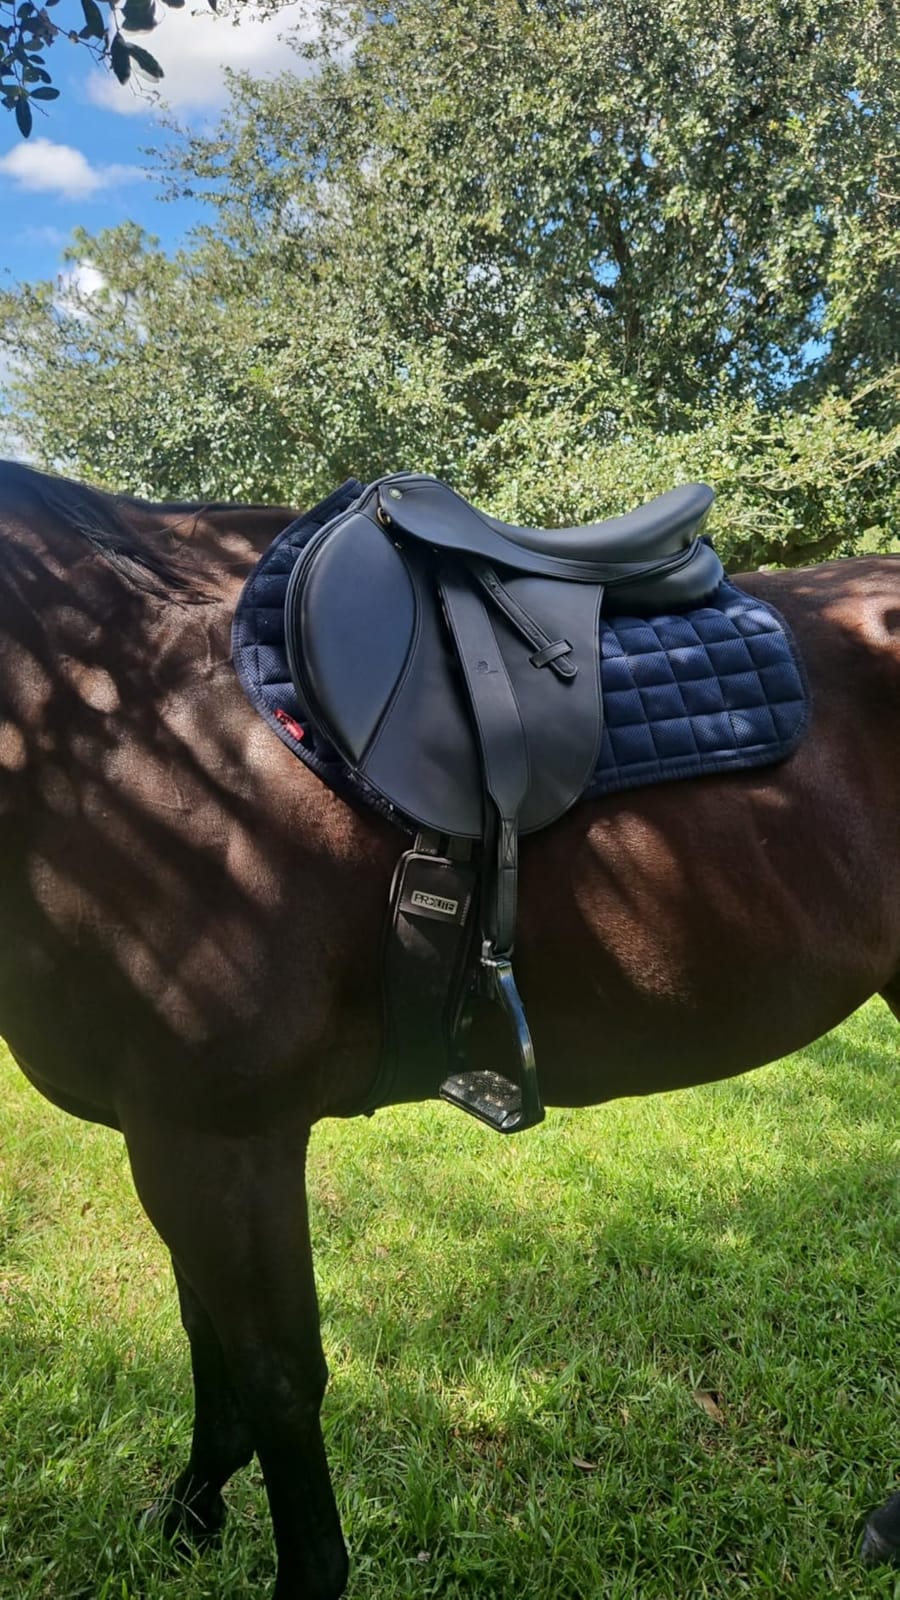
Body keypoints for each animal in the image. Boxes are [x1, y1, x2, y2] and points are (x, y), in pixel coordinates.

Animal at [0, 457, 896, 1599]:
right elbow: (208, 1339)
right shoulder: (168, 1136)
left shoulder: (221, 1139)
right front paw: (190, 1515)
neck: (125, 736)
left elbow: (277, 1374)